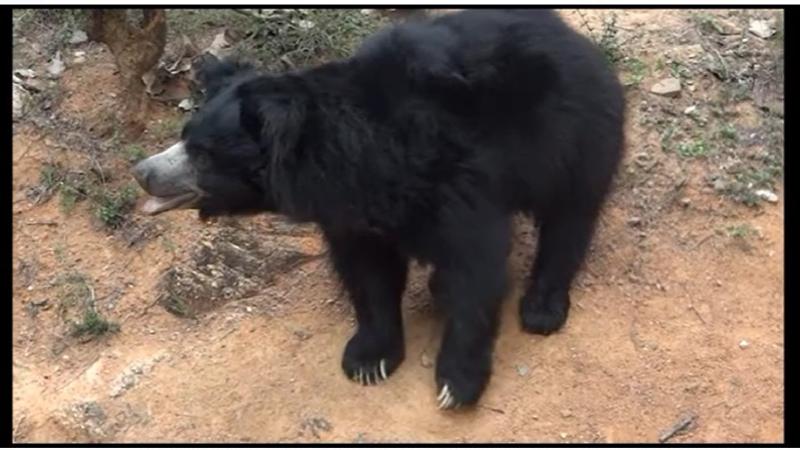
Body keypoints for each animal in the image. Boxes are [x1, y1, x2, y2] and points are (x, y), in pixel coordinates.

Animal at [131, 8, 624, 410]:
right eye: (183, 134)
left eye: (203, 154)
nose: (143, 172)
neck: (352, 160)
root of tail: (573, 37)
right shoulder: (351, 216)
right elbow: (368, 275)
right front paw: (369, 360)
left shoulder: (458, 181)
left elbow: (475, 266)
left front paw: (456, 385)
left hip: (572, 135)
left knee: (570, 217)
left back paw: (542, 308)